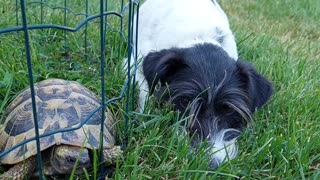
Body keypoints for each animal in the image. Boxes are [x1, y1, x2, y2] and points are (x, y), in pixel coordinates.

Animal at [127, 0, 272, 169]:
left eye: (229, 109)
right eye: (185, 102)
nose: (212, 164)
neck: (200, 37)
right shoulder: (133, 64)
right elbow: (145, 92)